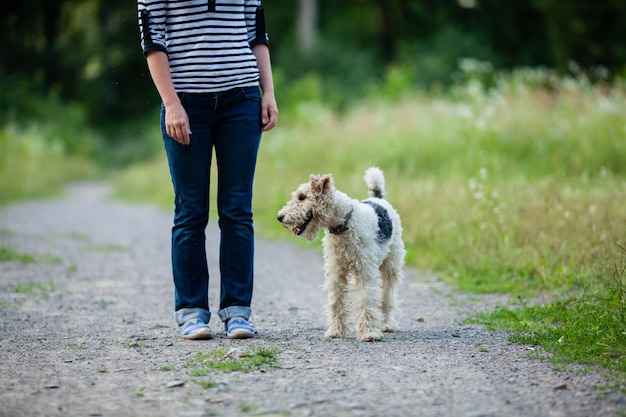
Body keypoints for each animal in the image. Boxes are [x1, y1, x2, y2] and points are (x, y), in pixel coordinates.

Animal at [274, 167, 402, 342]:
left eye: (302, 197)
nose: (279, 217)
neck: (343, 225)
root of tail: (378, 199)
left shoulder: (366, 271)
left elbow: (366, 300)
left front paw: (368, 333)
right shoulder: (335, 271)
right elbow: (336, 301)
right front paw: (335, 331)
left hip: (391, 265)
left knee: (388, 297)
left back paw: (387, 324)